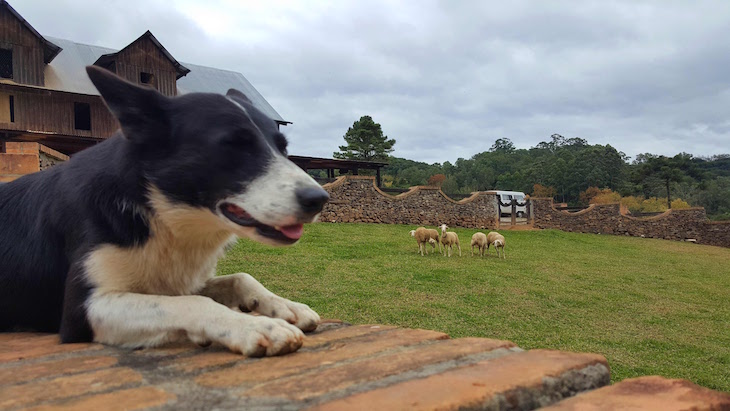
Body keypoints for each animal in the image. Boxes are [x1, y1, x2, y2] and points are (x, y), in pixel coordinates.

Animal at [0, 67, 328, 358]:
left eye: (283, 148)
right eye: (234, 146)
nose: (319, 199)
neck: (157, 211)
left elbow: (240, 278)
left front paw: (285, 306)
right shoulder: (82, 311)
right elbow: (193, 303)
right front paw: (254, 326)